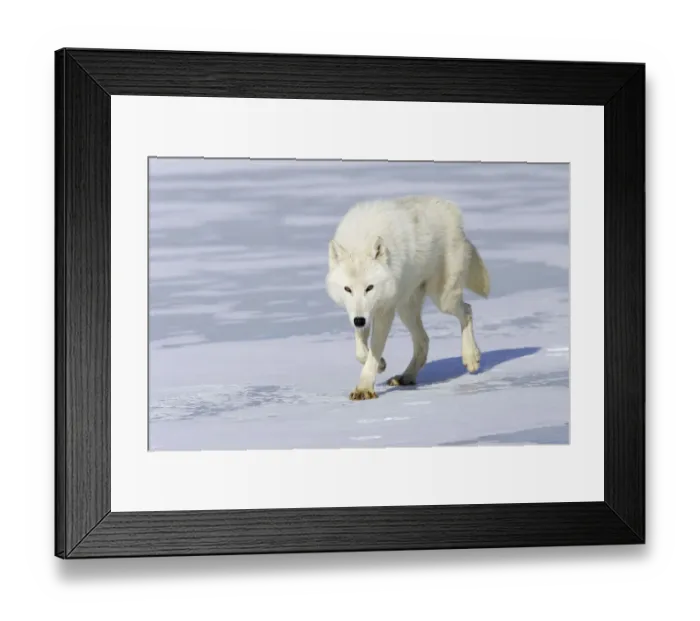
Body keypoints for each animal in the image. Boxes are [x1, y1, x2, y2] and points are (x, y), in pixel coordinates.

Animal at [325, 195, 490, 401]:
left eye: (369, 288)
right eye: (348, 289)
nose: (359, 321)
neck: (361, 241)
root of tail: (451, 209)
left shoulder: (384, 311)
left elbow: (374, 350)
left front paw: (364, 388)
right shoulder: (359, 312)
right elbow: (361, 352)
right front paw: (380, 364)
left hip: (443, 300)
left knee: (467, 310)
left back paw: (471, 358)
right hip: (406, 310)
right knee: (424, 341)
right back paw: (406, 377)